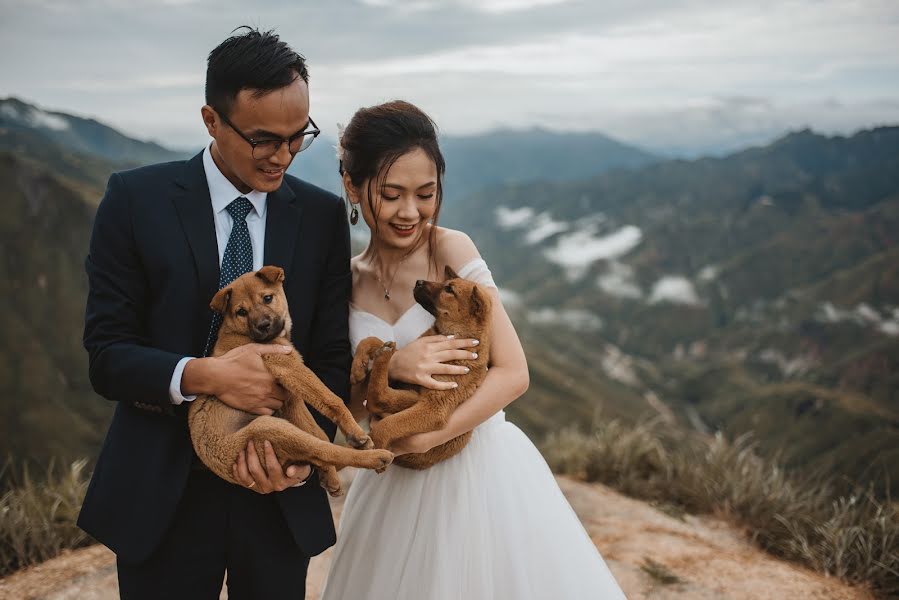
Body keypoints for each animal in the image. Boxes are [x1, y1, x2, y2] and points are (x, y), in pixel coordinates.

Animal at [352, 266, 492, 468]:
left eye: (449, 290)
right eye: (445, 283)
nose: (418, 281)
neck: (451, 336)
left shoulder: (435, 409)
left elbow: (391, 424)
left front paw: (376, 446)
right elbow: (372, 339)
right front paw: (358, 365)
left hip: (415, 399)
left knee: (379, 399)